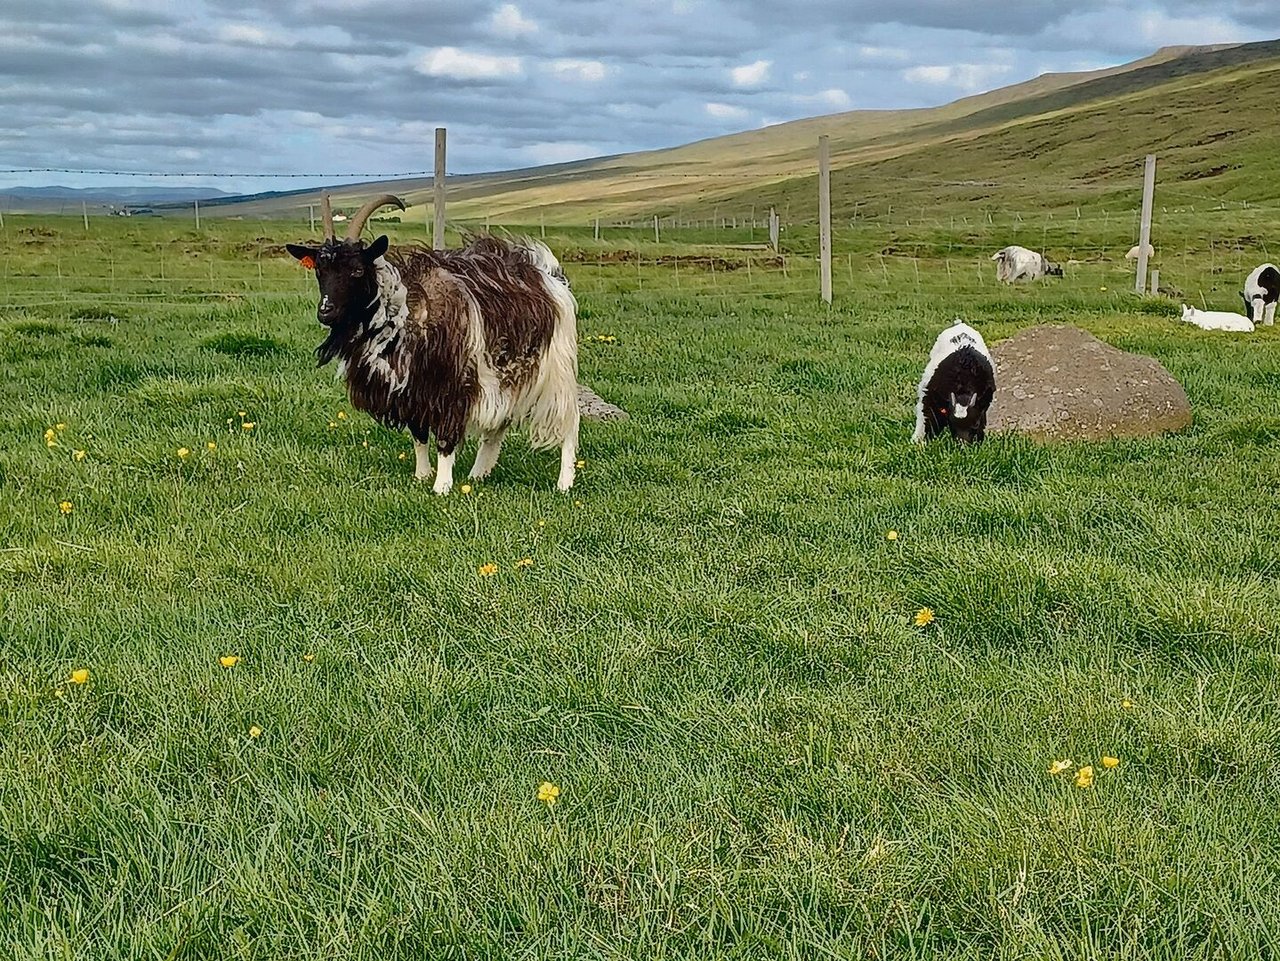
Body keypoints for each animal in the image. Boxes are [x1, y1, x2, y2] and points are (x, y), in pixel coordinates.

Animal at [290, 193, 581, 496]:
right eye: (319, 271)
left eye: (357, 270)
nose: (326, 312)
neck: (402, 312)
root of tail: (549, 273)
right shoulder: (413, 390)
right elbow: (419, 435)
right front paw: (422, 475)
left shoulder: (450, 385)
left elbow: (445, 437)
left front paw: (441, 486)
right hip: (506, 374)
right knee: (498, 426)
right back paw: (479, 473)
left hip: (557, 367)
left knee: (570, 421)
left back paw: (564, 482)